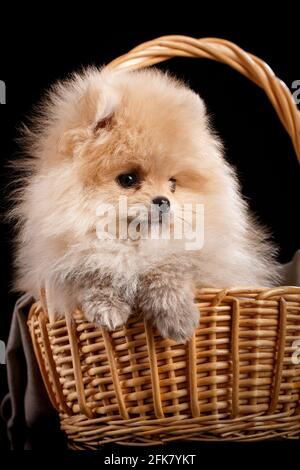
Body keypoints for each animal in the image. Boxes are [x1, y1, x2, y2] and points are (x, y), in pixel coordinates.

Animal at [9, 67, 282, 342]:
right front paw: (107, 308)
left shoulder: (205, 260)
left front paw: (179, 319)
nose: (164, 201)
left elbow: (170, 268)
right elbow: (90, 271)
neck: (134, 243)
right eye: (128, 179)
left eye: (172, 184)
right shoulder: (58, 263)